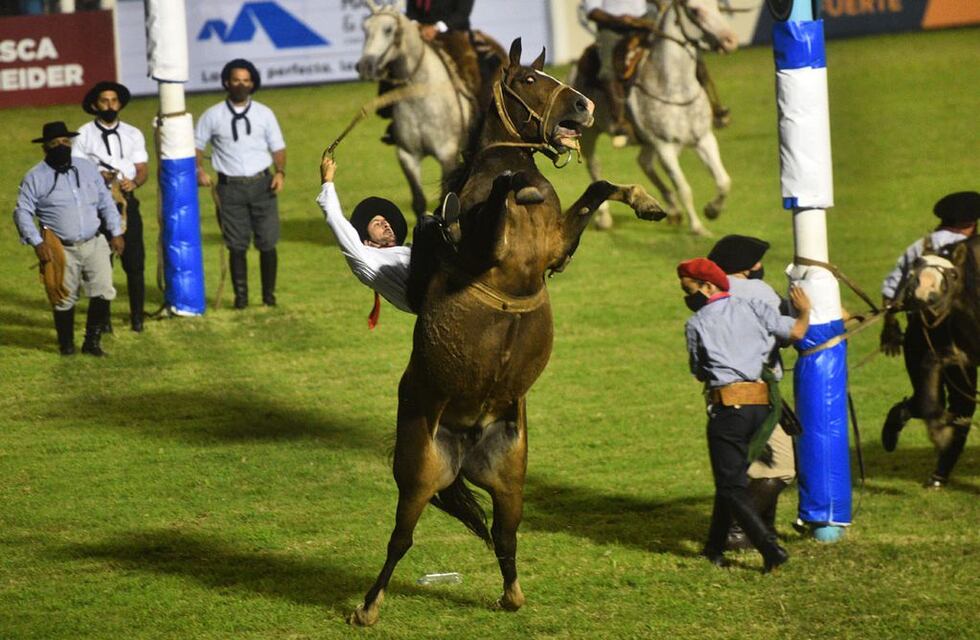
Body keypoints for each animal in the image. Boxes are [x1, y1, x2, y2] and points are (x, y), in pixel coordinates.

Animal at [348, 38, 666, 627]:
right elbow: (501, 194)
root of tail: (466, 438)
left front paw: (647, 201)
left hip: (511, 477)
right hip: (418, 475)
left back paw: (512, 595)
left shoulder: (556, 247)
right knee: (400, 540)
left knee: (504, 533)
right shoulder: (483, 251)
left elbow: (598, 186)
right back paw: (368, 608)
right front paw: (502, 190)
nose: (586, 105)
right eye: (530, 79)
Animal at [356, 0, 503, 217]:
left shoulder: (447, 155)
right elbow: (419, 202)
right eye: (365, 28)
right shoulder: (407, 156)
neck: (421, 97)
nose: (365, 66)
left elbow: (445, 200)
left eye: (388, 29)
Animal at [571, 0, 738, 234]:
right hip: (589, 135)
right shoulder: (664, 146)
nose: (731, 40)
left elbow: (724, 181)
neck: (673, 88)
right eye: (694, 10)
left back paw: (671, 209)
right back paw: (604, 218)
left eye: (718, 7)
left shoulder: (703, 138)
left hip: (647, 142)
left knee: (644, 162)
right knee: (594, 167)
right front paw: (697, 227)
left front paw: (712, 211)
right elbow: (684, 188)